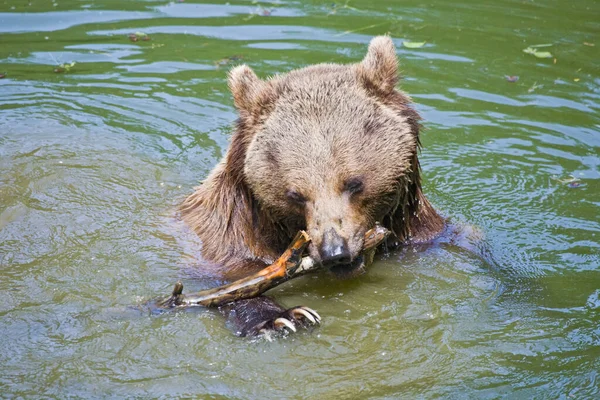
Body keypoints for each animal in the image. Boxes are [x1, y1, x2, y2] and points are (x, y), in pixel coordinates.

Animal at [178, 36, 446, 338]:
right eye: (295, 194)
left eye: (354, 183)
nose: (335, 252)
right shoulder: (229, 237)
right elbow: (235, 283)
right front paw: (282, 318)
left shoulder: (420, 230)